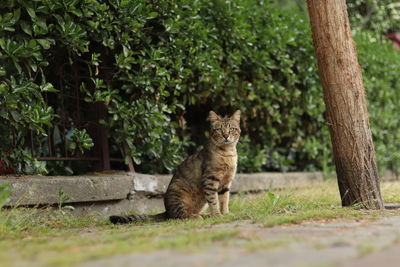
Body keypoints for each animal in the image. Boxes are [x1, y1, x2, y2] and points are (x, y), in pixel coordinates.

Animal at [109, 110, 241, 225]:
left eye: (231, 129)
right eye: (219, 129)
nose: (226, 135)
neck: (228, 153)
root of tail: (166, 211)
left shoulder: (226, 182)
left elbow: (224, 200)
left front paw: (225, 213)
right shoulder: (210, 179)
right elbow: (214, 200)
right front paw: (217, 215)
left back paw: (205, 215)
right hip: (179, 192)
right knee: (179, 216)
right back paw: (197, 216)